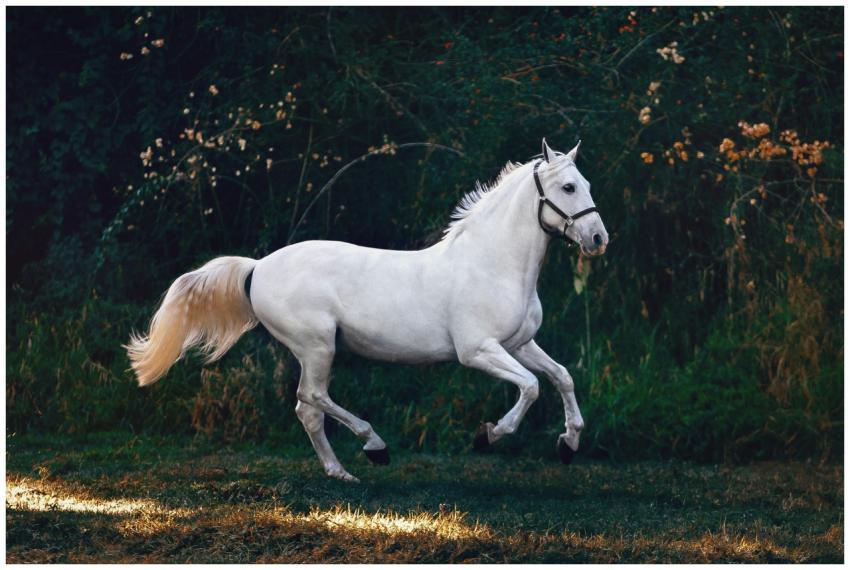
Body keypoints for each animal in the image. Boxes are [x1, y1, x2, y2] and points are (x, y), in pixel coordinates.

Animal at [126, 138, 608, 482]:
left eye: (587, 185)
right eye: (568, 187)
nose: (598, 239)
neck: (492, 264)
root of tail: (258, 267)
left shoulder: (520, 343)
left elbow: (561, 377)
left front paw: (568, 444)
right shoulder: (478, 351)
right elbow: (530, 387)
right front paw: (488, 435)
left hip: (315, 350)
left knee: (307, 409)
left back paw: (341, 472)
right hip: (317, 346)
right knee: (313, 398)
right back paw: (374, 447)